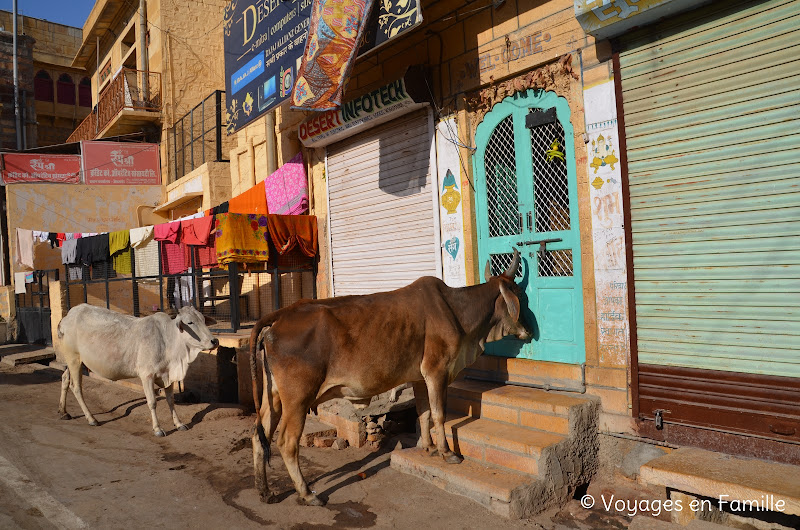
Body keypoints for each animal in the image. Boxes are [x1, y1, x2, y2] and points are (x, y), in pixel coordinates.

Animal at [55, 304, 219, 436]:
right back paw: (91, 419)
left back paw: (63, 412)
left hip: (76, 362)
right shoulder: (147, 376)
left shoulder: (168, 376)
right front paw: (157, 429)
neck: (168, 340)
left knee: (65, 378)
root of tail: (67, 317)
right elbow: (152, 402)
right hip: (74, 359)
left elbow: (170, 400)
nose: (214, 341)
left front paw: (179, 424)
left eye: (203, 320)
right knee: (76, 387)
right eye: (190, 322)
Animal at [247, 248, 528, 504]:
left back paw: (265, 491)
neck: (456, 310)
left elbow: (424, 413)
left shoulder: (420, 378)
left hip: (273, 397)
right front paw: (447, 452)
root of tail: (279, 317)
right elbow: (439, 414)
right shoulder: (436, 371)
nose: (529, 330)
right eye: (519, 294)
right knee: (286, 442)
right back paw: (306, 493)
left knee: (259, 436)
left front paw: (428, 447)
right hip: (297, 400)